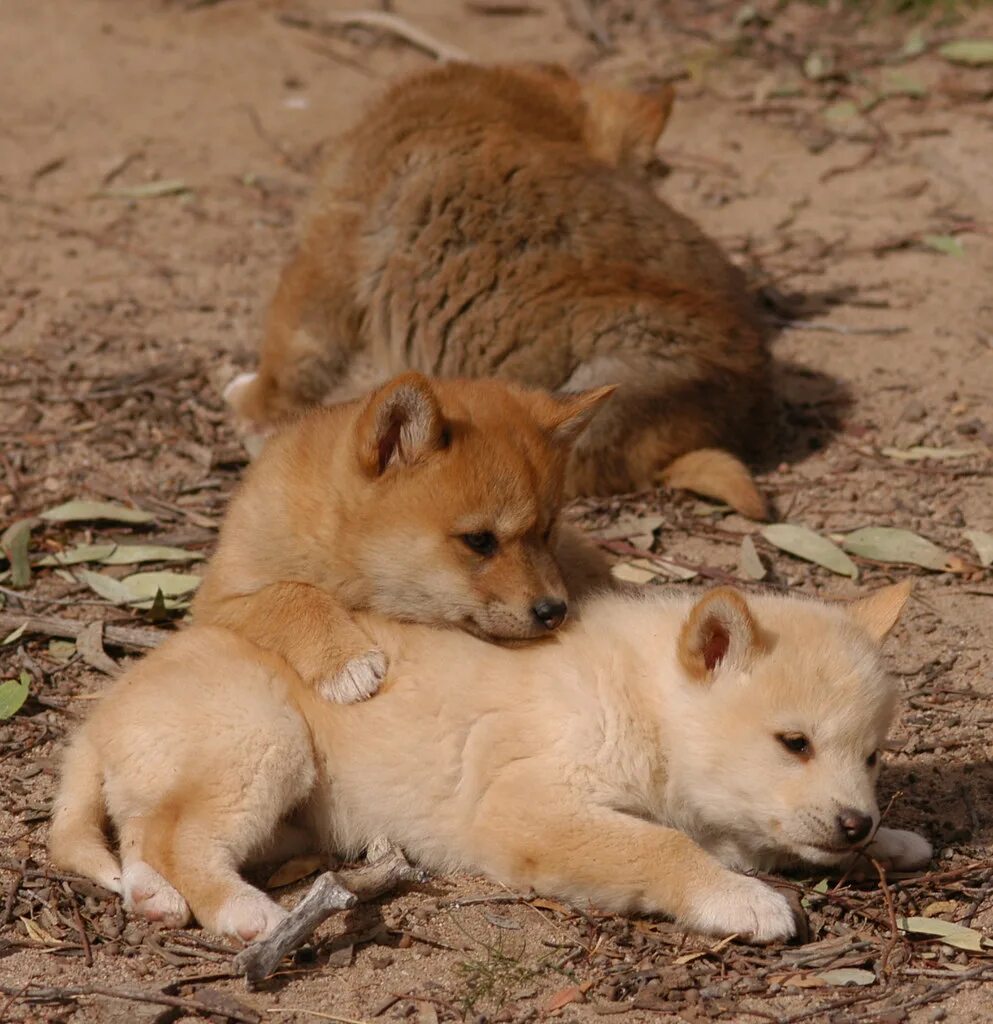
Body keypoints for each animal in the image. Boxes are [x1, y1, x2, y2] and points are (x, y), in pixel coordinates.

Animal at [48, 585, 929, 942]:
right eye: (793, 743)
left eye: (870, 755)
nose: (856, 821)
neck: (640, 701)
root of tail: (106, 706)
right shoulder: (524, 807)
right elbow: (659, 845)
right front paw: (740, 900)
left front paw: (893, 840)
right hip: (267, 742)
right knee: (180, 840)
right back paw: (241, 913)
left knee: (144, 834)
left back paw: (154, 899)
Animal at [191, 372, 610, 700]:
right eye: (478, 540)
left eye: (548, 530)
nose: (555, 611)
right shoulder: (217, 601)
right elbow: (289, 595)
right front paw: (345, 660)